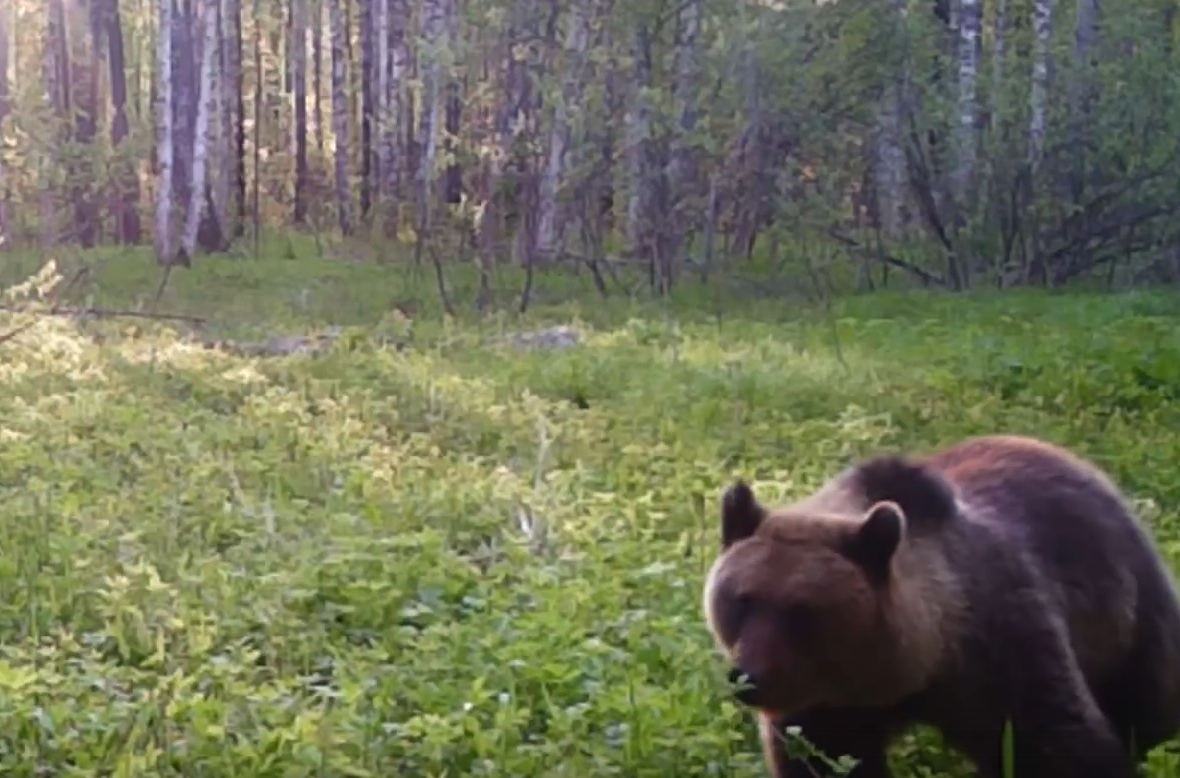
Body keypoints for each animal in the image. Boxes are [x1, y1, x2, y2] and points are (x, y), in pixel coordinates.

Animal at [703, 434, 1180, 774]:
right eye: (742, 600)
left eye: (802, 611)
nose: (749, 677)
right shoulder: (826, 706)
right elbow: (822, 757)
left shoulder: (1004, 648)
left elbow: (1061, 743)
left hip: (1128, 607)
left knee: (1149, 699)